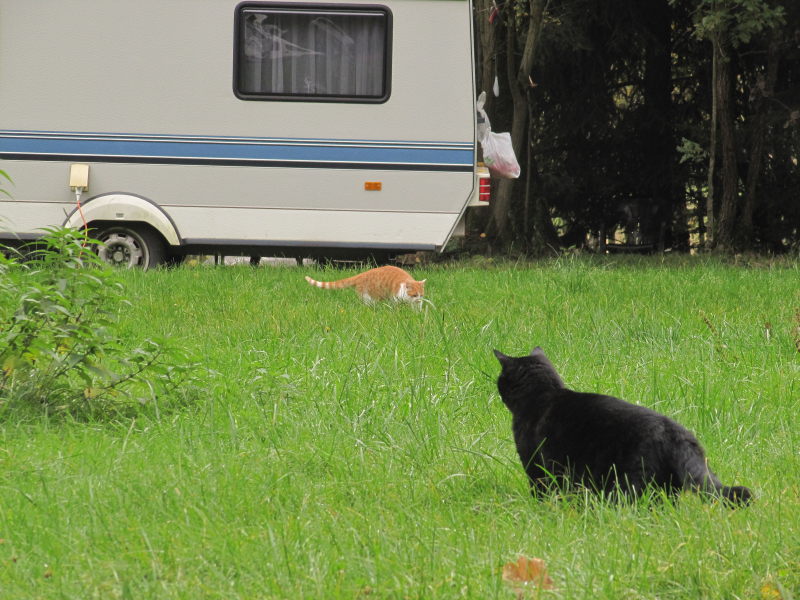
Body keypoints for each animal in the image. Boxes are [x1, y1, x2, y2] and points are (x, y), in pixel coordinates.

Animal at [490, 346, 752, 506]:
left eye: (500, 380)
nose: (497, 387)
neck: (543, 394)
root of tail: (675, 432)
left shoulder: (536, 465)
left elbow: (541, 492)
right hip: (669, 487)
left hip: (629, 483)